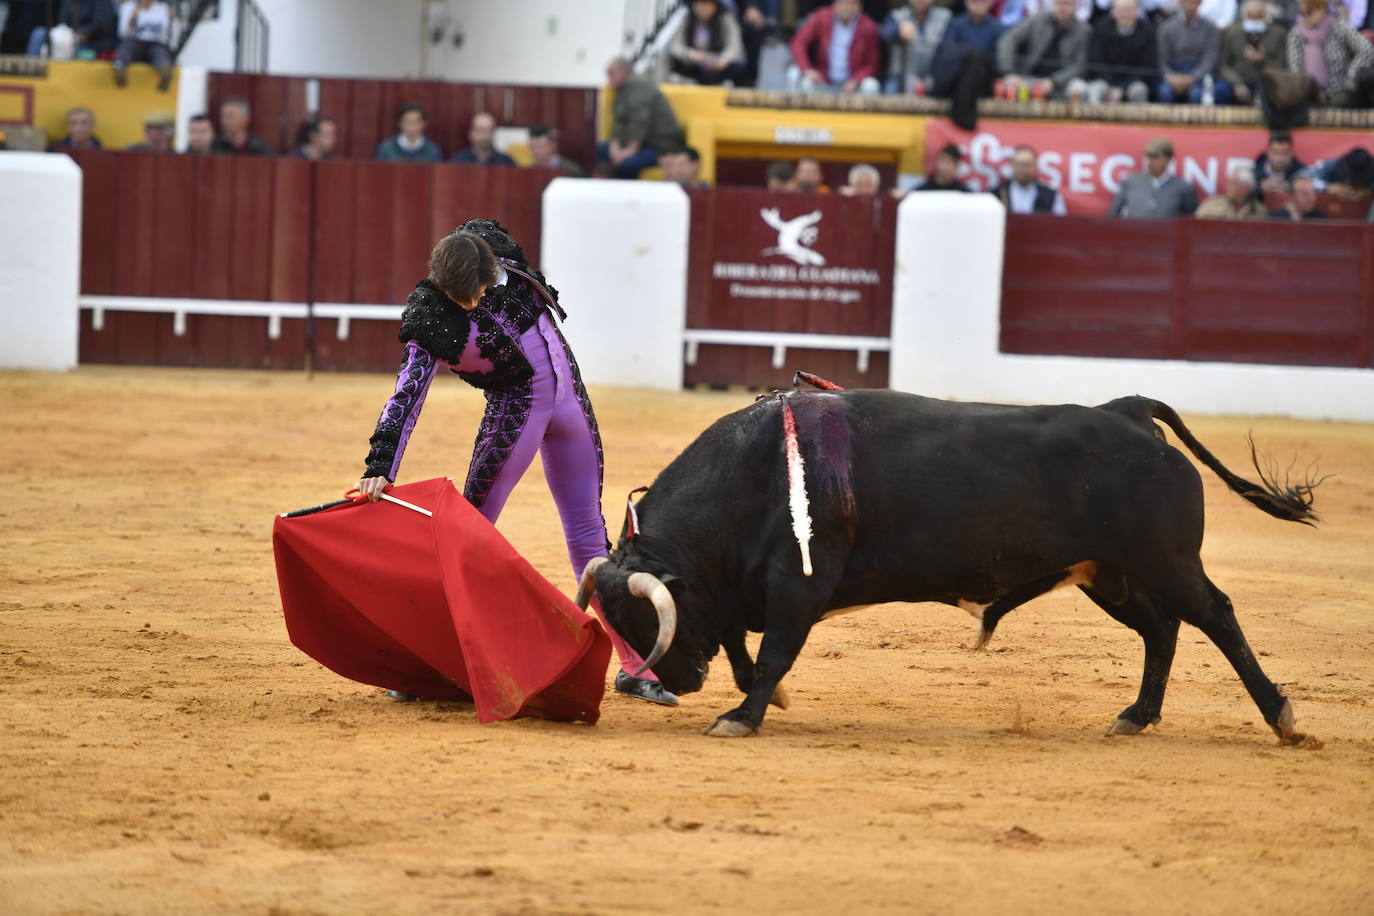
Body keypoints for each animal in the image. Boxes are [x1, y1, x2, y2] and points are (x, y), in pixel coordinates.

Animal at [577, 390, 1319, 741]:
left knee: (1214, 615)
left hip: (1165, 562)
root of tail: (1130, 413)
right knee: (1161, 630)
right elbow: (743, 646)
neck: (752, 474)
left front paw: (743, 715)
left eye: (645, 622)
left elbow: (773, 653)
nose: (669, 682)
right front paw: (760, 699)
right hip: (1107, 573)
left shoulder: (799, 586)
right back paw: (1136, 716)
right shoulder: (749, 590)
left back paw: (1281, 716)